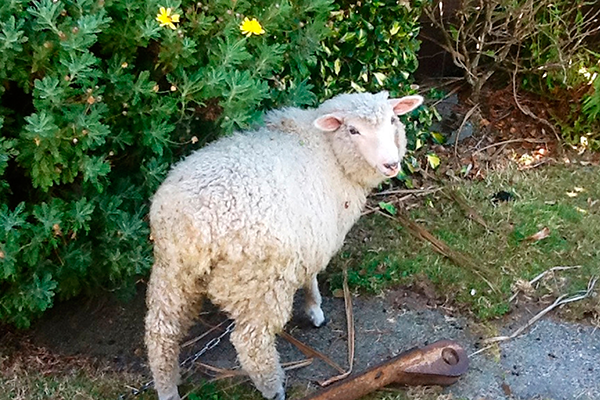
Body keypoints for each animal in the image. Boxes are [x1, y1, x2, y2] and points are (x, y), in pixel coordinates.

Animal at [145, 91, 424, 400]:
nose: (391, 164)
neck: (329, 151)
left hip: (173, 272)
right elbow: (311, 276)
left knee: (160, 332)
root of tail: (199, 225)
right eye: (353, 130)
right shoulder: (315, 235)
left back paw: (167, 389)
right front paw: (315, 310)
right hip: (258, 284)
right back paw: (274, 388)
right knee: (251, 342)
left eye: (393, 120)